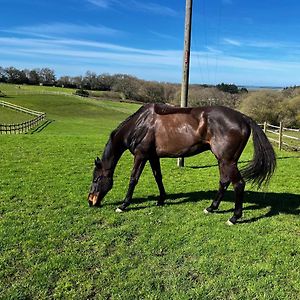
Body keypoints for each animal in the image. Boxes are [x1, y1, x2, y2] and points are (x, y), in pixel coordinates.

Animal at [87, 103, 276, 225]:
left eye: (96, 179)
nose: (90, 201)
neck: (141, 123)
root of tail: (243, 118)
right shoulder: (152, 156)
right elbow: (158, 176)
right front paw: (161, 199)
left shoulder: (141, 156)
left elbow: (133, 179)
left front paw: (124, 205)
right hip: (223, 161)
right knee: (224, 182)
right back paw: (211, 208)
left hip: (228, 161)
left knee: (239, 184)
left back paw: (234, 217)